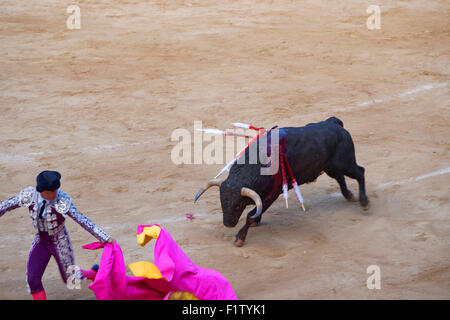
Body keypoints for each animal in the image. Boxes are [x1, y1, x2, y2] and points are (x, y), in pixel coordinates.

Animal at [193, 116, 370, 246]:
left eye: (238, 205)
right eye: (222, 201)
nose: (228, 223)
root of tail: (334, 123)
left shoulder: (272, 195)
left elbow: (250, 215)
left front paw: (240, 237)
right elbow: (255, 211)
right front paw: (255, 221)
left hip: (345, 163)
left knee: (360, 172)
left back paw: (364, 202)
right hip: (330, 167)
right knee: (340, 178)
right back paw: (349, 195)